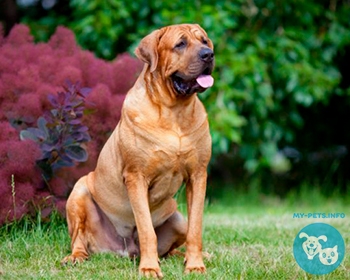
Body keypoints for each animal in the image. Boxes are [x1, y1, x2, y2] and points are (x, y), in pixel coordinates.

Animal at [61, 24, 215, 278]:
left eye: (204, 41)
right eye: (180, 44)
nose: (208, 55)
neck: (174, 112)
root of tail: (125, 251)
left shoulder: (198, 175)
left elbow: (196, 228)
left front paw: (195, 265)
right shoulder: (136, 177)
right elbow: (146, 229)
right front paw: (150, 268)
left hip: (178, 219)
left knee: (174, 247)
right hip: (79, 191)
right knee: (79, 240)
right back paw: (75, 258)